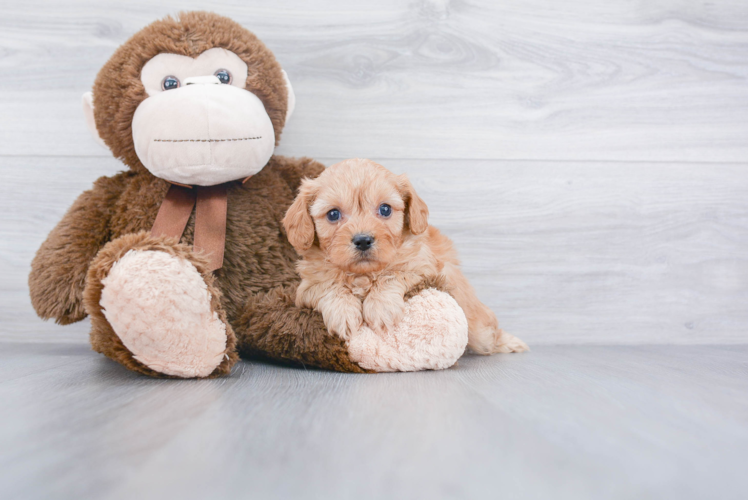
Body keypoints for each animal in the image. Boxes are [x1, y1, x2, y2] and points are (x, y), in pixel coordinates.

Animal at [284, 158, 528, 354]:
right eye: (333, 214)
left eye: (385, 209)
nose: (363, 240)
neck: (364, 273)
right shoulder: (306, 287)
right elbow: (328, 287)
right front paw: (343, 312)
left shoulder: (424, 267)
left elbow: (393, 275)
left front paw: (380, 308)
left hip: (477, 325)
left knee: (488, 334)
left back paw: (510, 343)